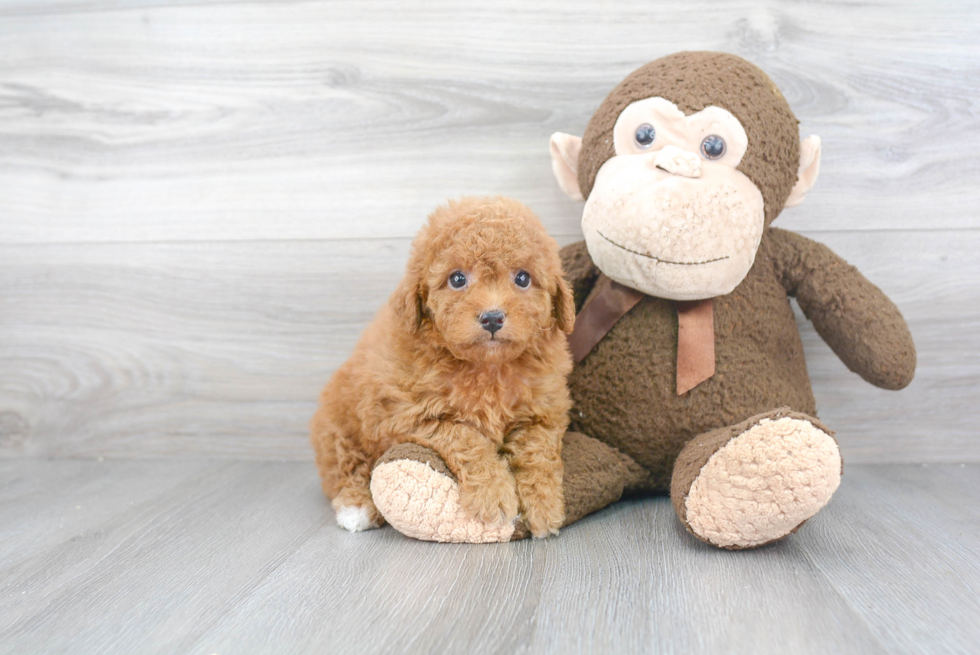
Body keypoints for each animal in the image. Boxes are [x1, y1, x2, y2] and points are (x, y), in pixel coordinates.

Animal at [312, 196, 576, 540]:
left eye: (523, 278)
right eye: (457, 279)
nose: (492, 318)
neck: (487, 367)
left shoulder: (543, 412)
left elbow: (538, 452)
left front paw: (544, 504)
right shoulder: (407, 416)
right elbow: (465, 437)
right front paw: (493, 493)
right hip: (338, 430)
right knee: (345, 468)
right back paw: (355, 508)